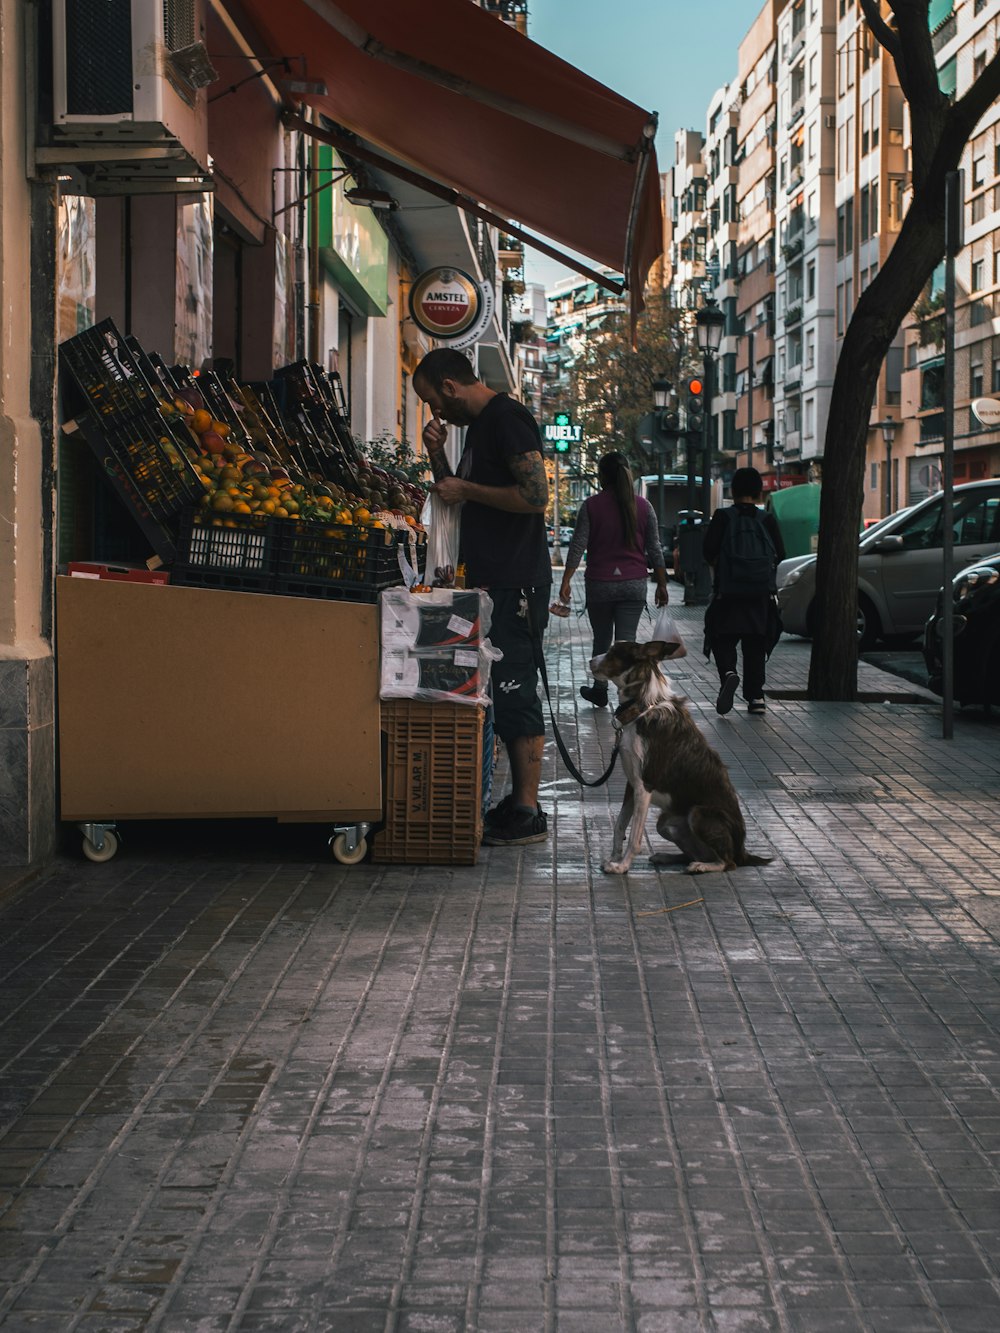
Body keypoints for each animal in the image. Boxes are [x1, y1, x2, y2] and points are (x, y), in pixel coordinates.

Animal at [594, 642, 773, 879]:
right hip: (665, 823)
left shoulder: (644, 785)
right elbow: (619, 826)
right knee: (696, 854)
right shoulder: (631, 784)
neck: (643, 707)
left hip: (698, 814)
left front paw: (622, 866)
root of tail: (743, 851)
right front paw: (614, 858)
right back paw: (669, 857)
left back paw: (702, 866)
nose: (590, 661)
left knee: (728, 862)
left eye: (614, 653)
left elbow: (634, 838)